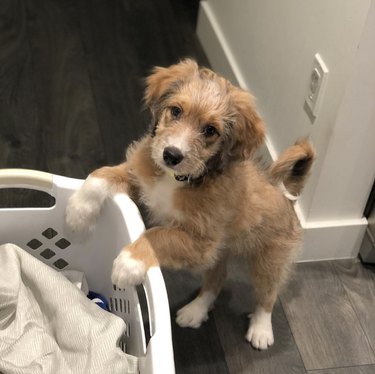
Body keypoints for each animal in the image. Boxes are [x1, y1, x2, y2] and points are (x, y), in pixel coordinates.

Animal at [66, 59, 316, 350]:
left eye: (210, 130)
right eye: (175, 111)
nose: (171, 155)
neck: (176, 179)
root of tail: (286, 195)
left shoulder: (200, 243)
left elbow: (157, 234)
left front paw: (128, 263)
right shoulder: (139, 176)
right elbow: (102, 174)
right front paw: (78, 211)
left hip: (267, 260)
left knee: (267, 294)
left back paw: (261, 331)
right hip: (219, 255)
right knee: (216, 280)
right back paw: (195, 311)